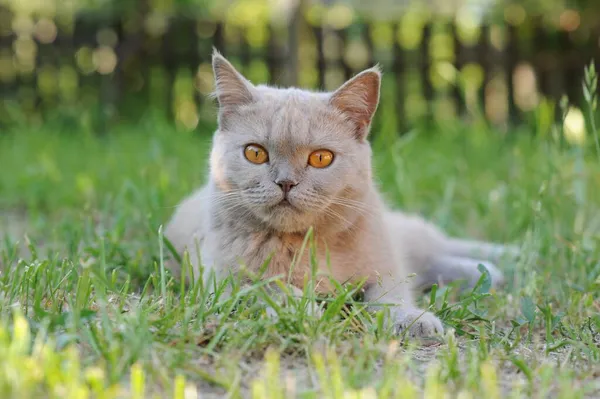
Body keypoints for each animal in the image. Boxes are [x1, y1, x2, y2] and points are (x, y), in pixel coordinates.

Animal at [162, 49, 516, 338]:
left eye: (321, 158)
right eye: (255, 153)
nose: (285, 182)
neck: (306, 244)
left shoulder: (383, 264)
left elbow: (391, 293)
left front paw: (412, 320)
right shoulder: (224, 281)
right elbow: (269, 290)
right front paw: (304, 311)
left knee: (435, 247)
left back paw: (500, 263)